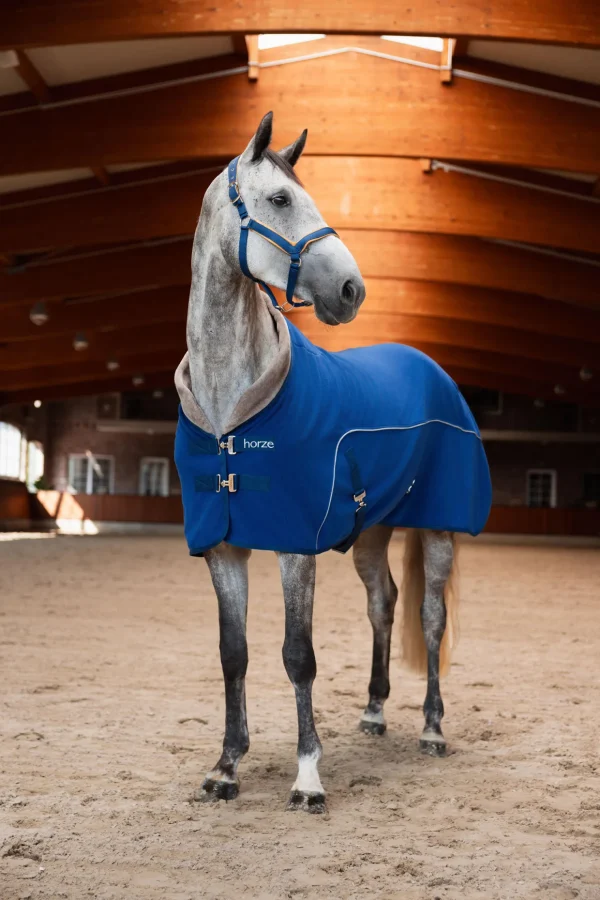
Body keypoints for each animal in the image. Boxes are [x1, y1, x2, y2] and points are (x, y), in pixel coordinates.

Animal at [173, 112, 492, 816]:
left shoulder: (295, 546)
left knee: (430, 617)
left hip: (439, 529)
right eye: (279, 199)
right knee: (383, 602)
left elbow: (298, 655)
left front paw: (307, 778)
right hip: (371, 532)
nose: (352, 289)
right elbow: (233, 653)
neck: (232, 410)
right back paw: (374, 712)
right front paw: (226, 768)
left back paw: (431, 728)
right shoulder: (222, 547)